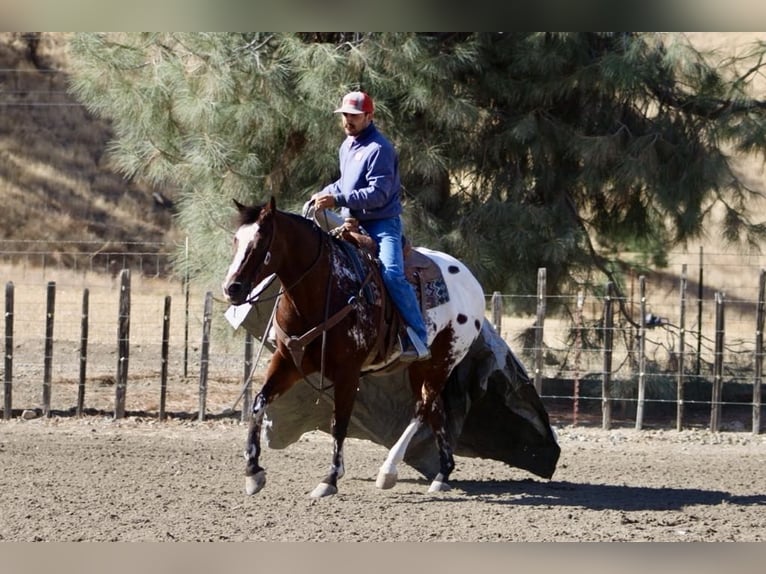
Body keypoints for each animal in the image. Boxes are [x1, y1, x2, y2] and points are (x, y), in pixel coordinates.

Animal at [222, 196, 486, 498]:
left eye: (260, 241)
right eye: (236, 240)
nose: (231, 289)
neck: (321, 288)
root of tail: (471, 280)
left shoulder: (347, 372)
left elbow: (340, 423)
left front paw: (330, 479)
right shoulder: (288, 361)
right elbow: (258, 403)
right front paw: (253, 472)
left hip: (443, 360)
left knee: (422, 408)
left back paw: (388, 471)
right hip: (420, 365)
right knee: (433, 410)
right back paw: (442, 474)